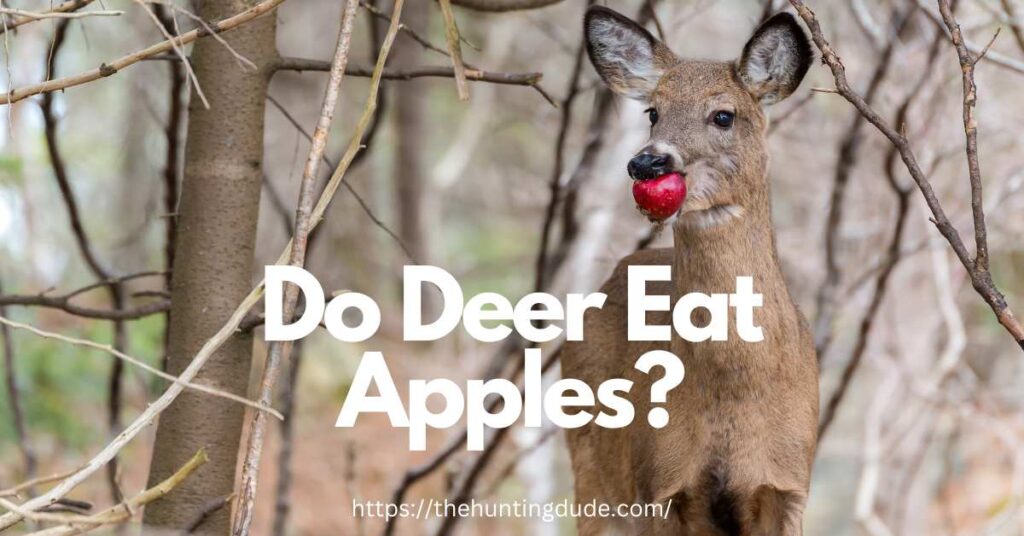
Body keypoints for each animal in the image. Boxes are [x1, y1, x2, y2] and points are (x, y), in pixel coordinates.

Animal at [562, 7, 819, 536]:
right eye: (652, 112)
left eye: (723, 115)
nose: (648, 162)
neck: (734, 395)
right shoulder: (659, 485)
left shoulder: (789, 485)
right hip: (591, 474)